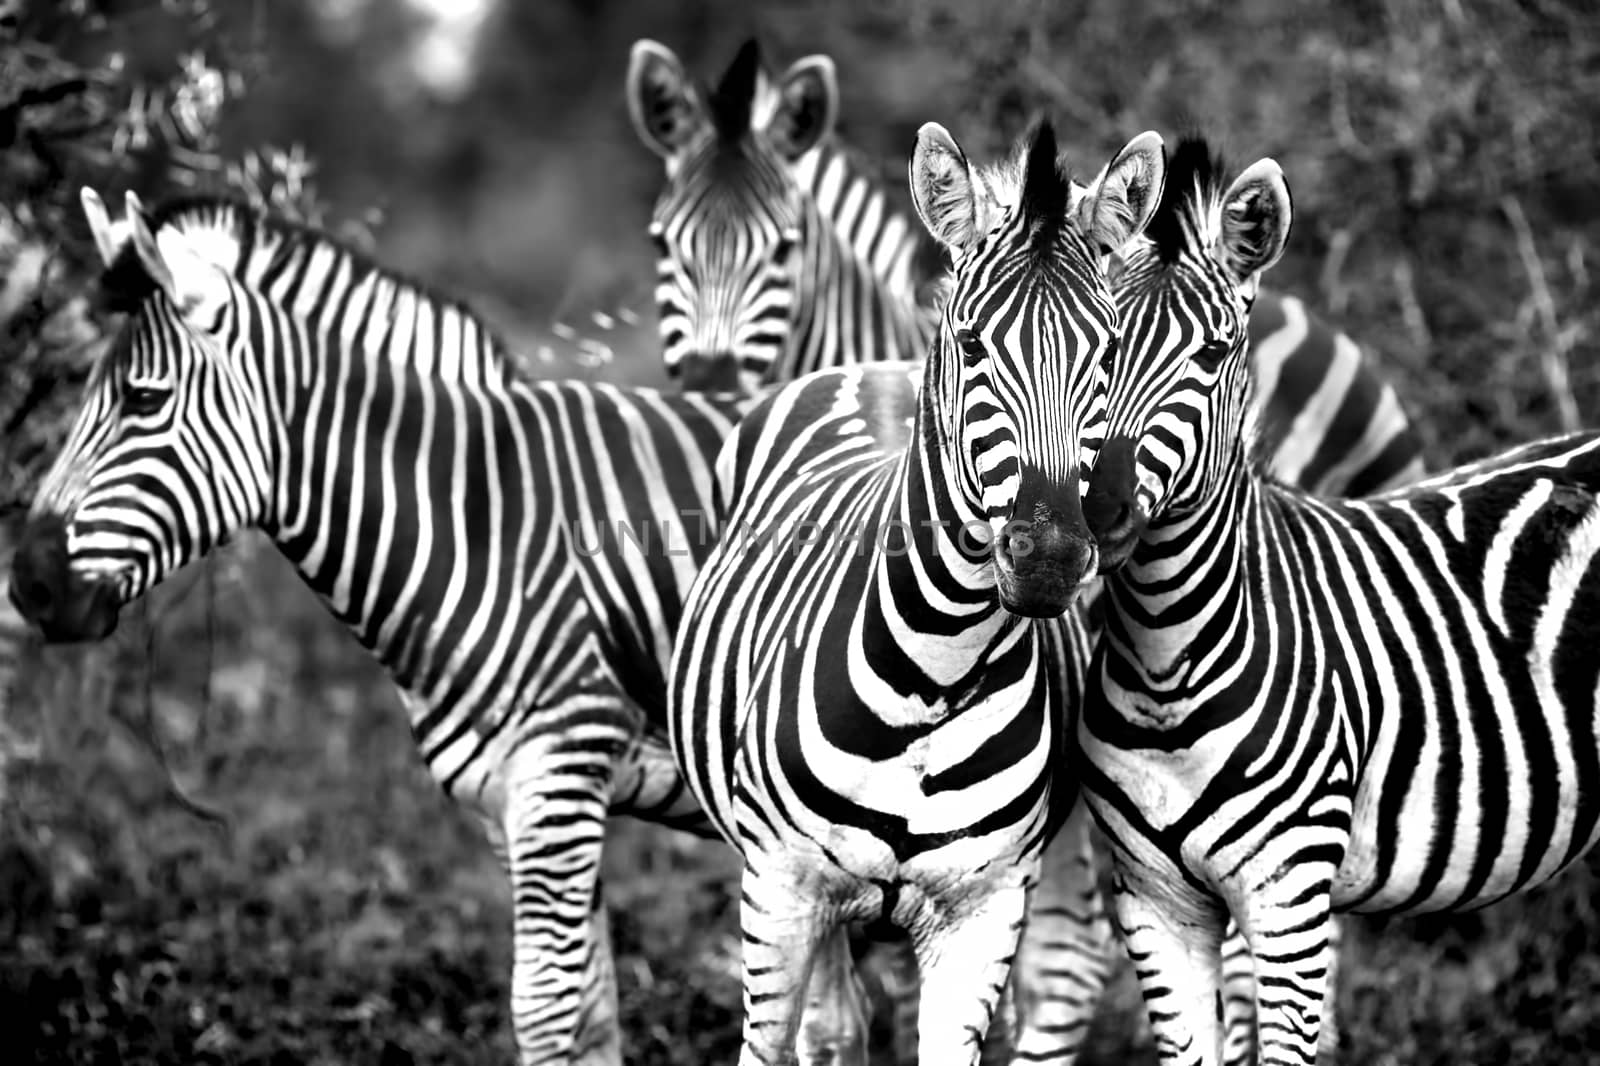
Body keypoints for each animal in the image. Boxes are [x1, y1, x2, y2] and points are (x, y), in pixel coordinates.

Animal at [3, 191, 889, 1062]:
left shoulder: (558, 777)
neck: (487, 529)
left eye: (142, 401)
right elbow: (596, 1012)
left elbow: (543, 1009)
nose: (30, 584)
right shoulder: (511, 800)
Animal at [662, 118, 1164, 1062]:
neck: (932, 667)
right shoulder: (779, 891)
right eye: (971, 344)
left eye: (1110, 351)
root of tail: (876, 366)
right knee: (831, 1026)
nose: (1048, 559)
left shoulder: (985, 909)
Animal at [1068, 135, 1600, 1062]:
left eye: (1213, 355)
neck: (1167, 661)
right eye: (1098, 347)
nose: (1102, 514)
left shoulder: (1290, 899)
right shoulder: (1153, 903)